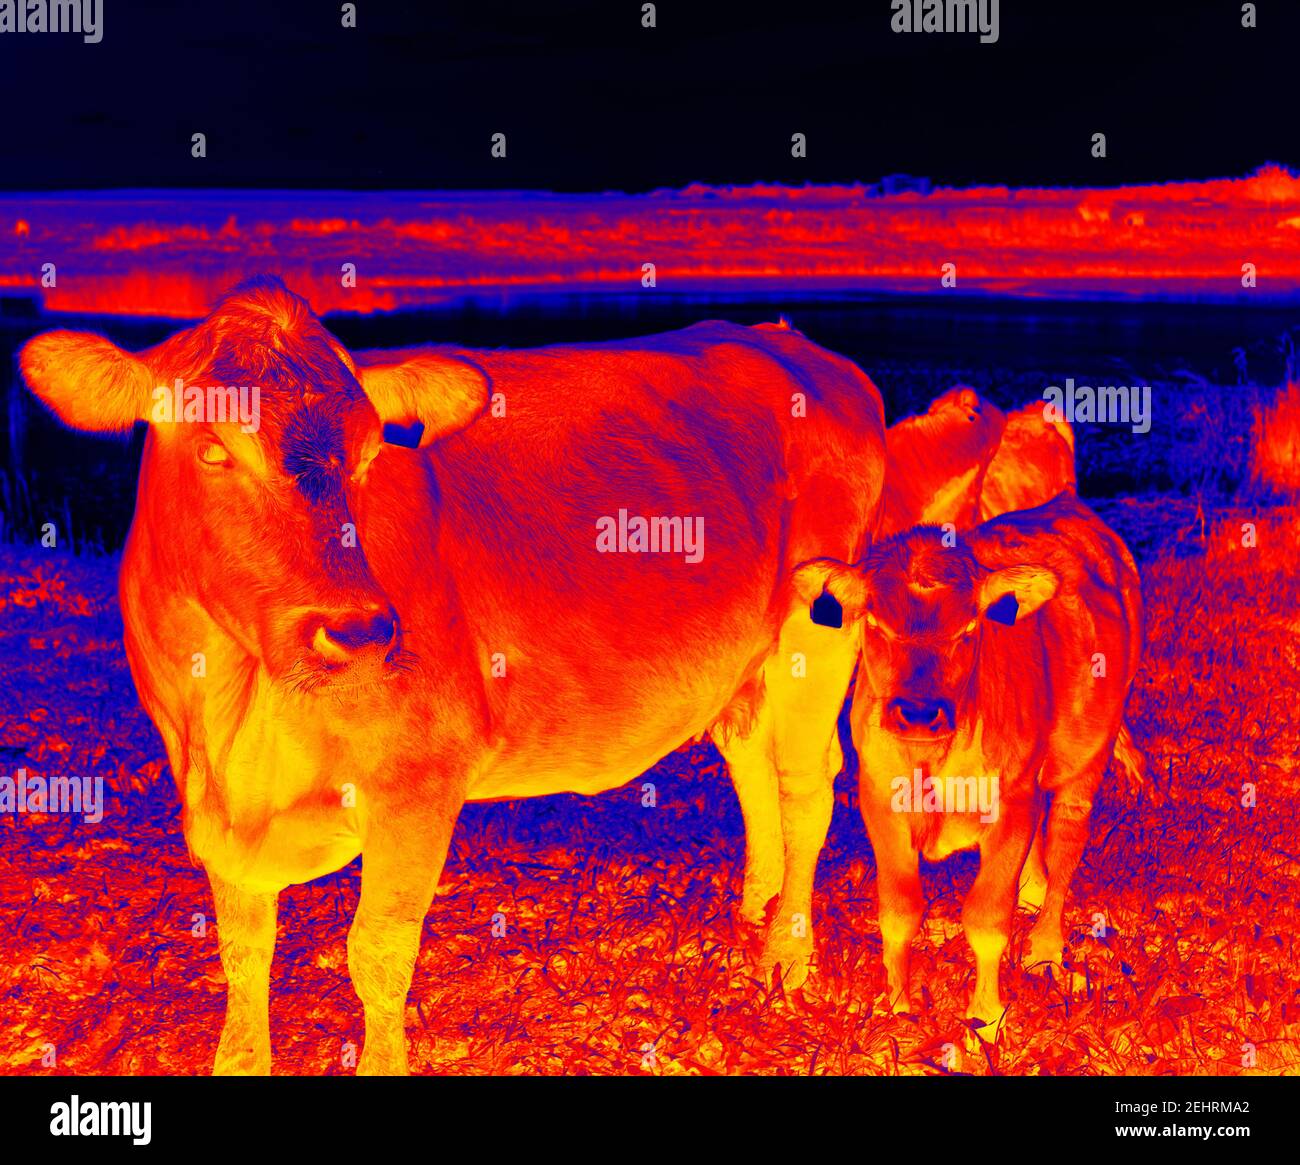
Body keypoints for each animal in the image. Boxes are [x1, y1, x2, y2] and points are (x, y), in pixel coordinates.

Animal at [19, 276, 887, 1074]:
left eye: (369, 455)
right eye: (211, 450)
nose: (358, 630)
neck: (233, 713)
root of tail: (789, 344)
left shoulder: (419, 781)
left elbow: (376, 953)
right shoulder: (213, 806)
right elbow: (243, 949)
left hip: (818, 625)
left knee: (804, 788)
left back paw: (785, 957)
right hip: (747, 663)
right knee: (751, 765)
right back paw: (750, 922)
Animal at [792, 492, 1142, 1035]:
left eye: (969, 629)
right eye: (876, 624)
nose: (918, 712)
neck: (933, 762)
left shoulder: (1012, 801)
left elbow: (986, 916)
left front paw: (986, 1017)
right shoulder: (879, 799)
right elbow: (899, 911)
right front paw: (898, 1007)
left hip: (1089, 755)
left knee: (1066, 837)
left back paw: (1046, 949)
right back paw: (1033, 891)